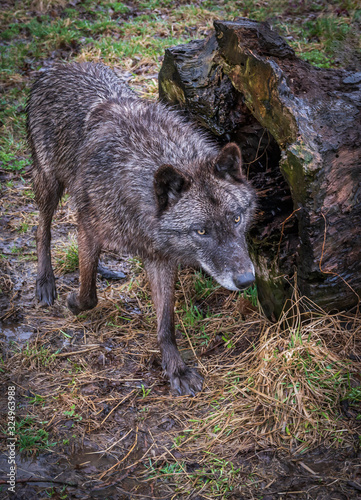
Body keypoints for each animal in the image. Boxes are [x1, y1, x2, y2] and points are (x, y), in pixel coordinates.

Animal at [26, 62, 255, 396]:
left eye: (236, 219)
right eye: (201, 231)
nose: (247, 280)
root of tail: (60, 67)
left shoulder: (159, 257)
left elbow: (166, 323)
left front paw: (176, 369)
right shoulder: (90, 228)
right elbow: (88, 294)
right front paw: (73, 302)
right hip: (49, 183)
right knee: (42, 229)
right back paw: (45, 281)